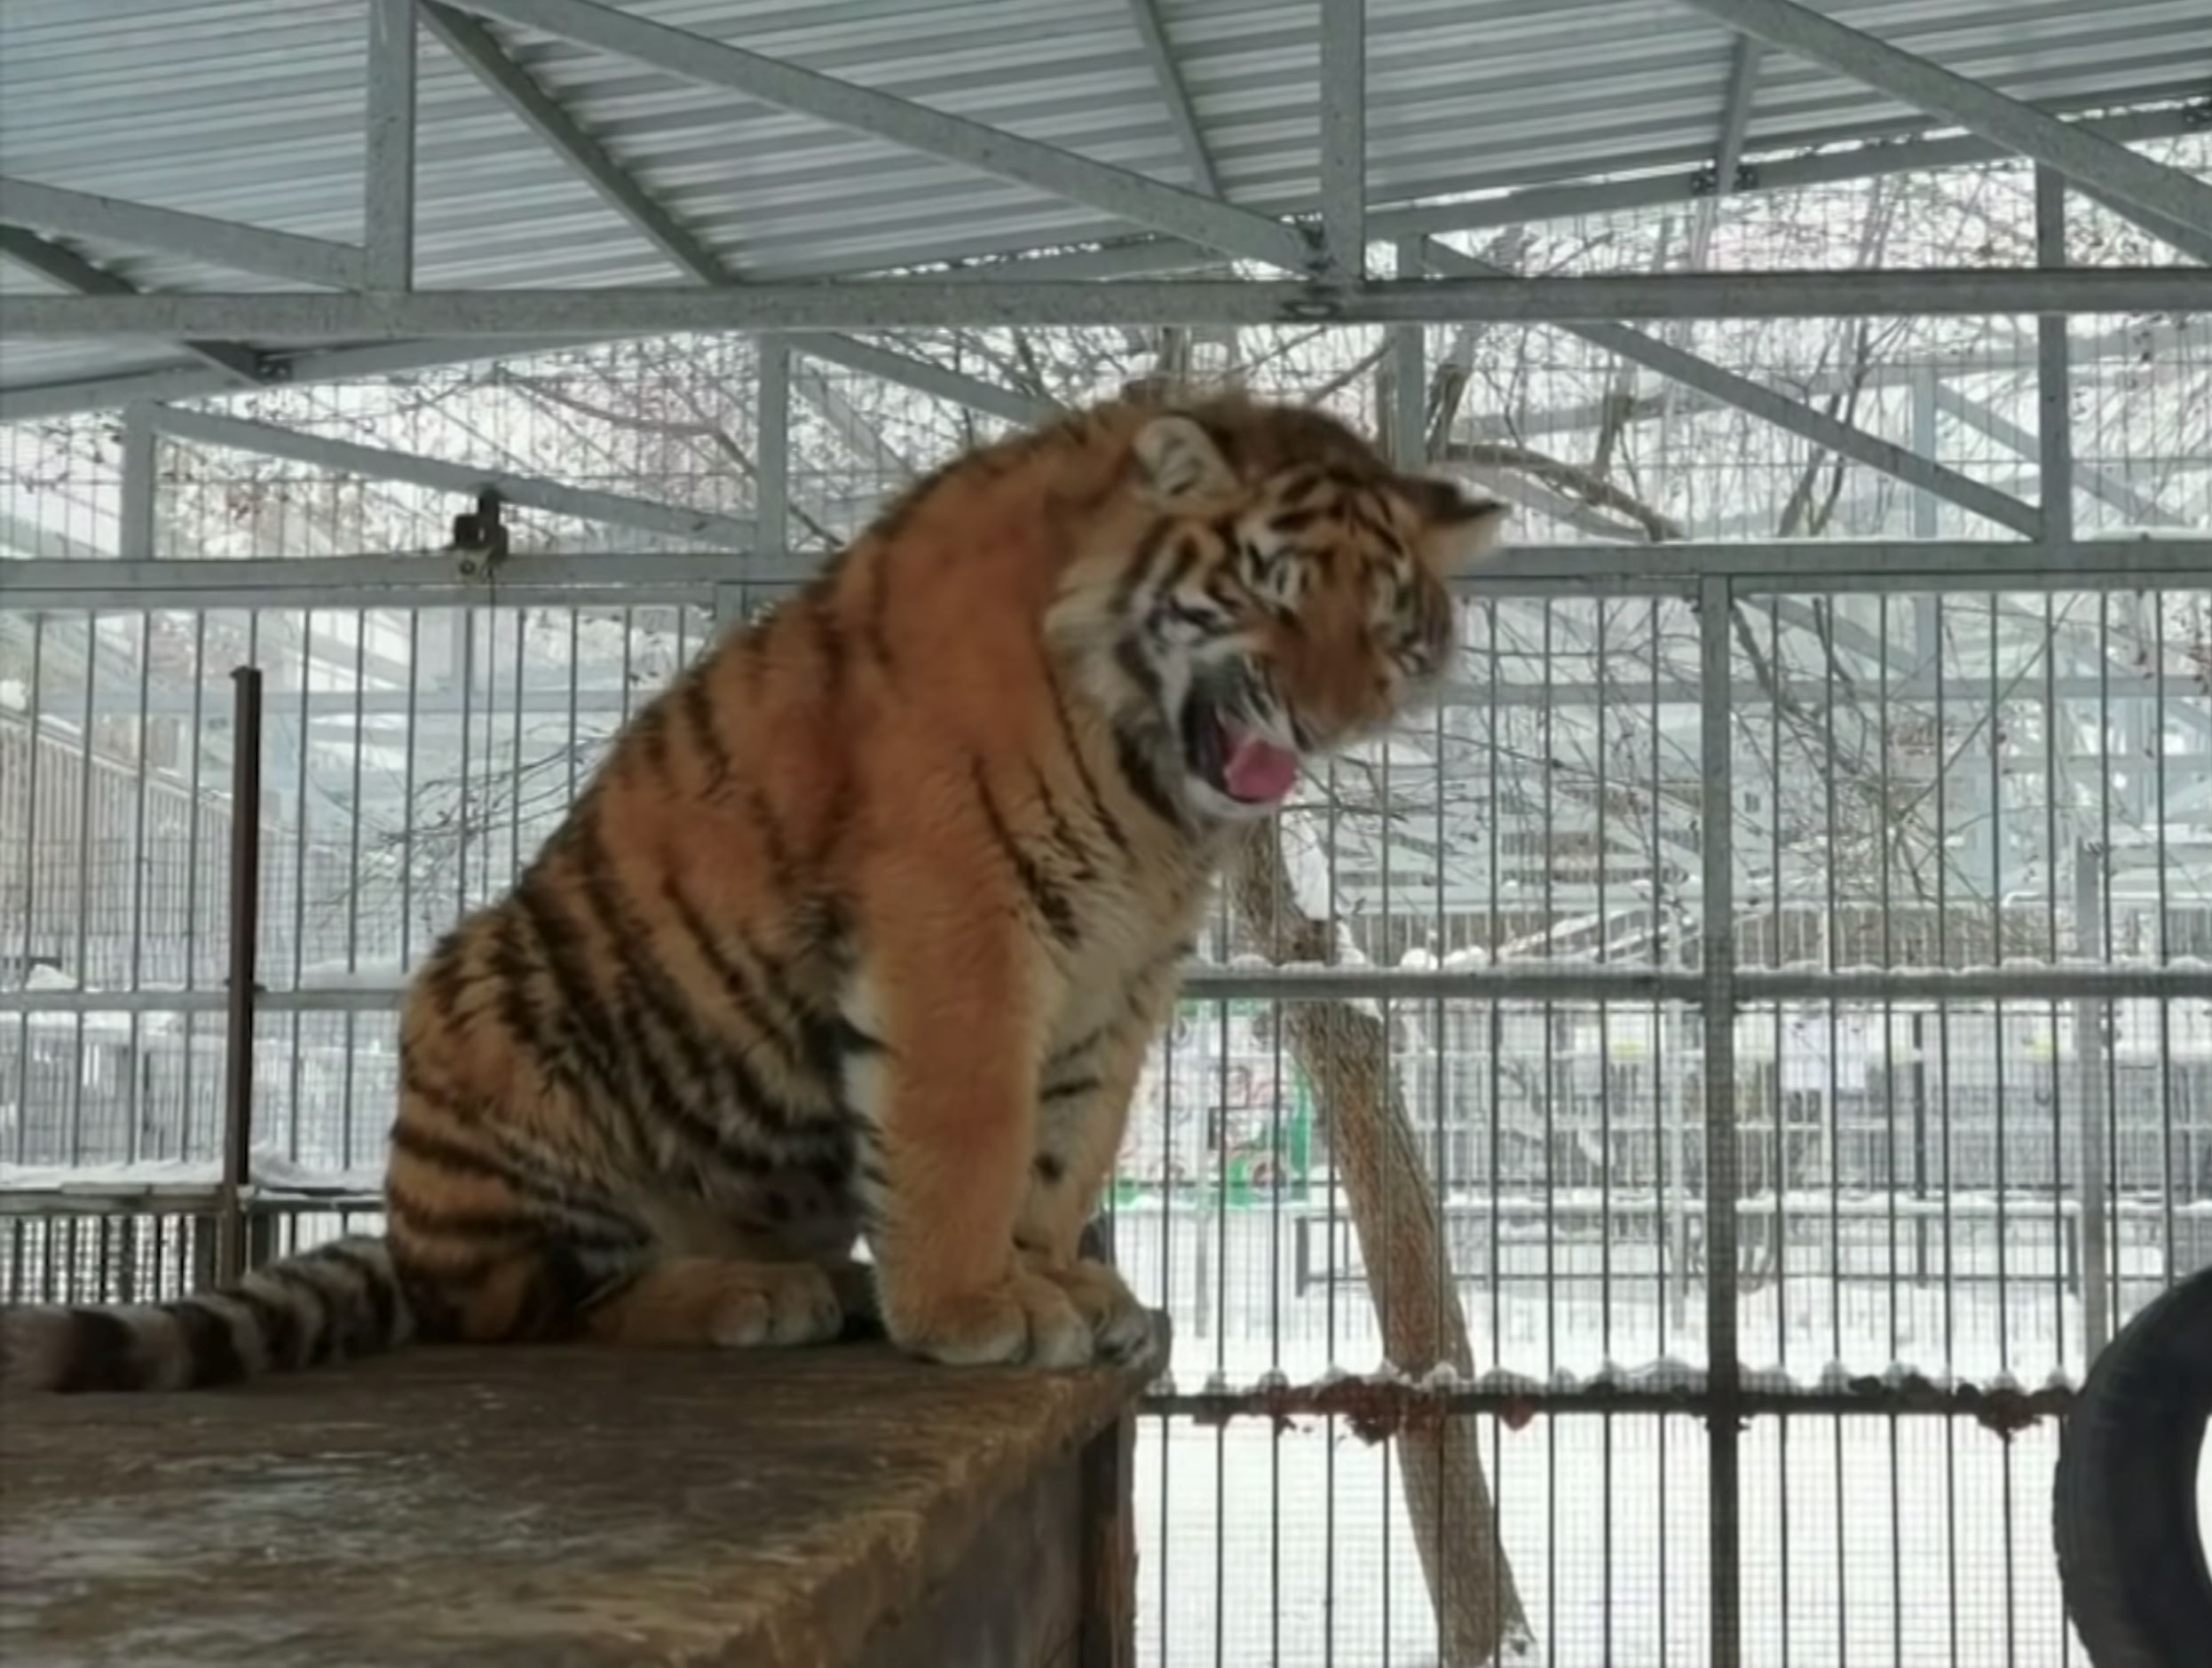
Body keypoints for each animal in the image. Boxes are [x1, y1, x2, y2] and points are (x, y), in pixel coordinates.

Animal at [0, 387, 1506, 1394]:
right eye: (1272, 591)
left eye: (1386, 619)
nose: (1328, 714)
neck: (1151, 784)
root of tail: (408, 1231)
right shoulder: (963, 909)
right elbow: (970, 1125)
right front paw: (977, 1303)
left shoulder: (1125, 968)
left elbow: (1068, 1141)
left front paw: (1065, 1276)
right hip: (493, 1020)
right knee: (528, 1301)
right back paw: (752, 1291)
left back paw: (829, 1276)